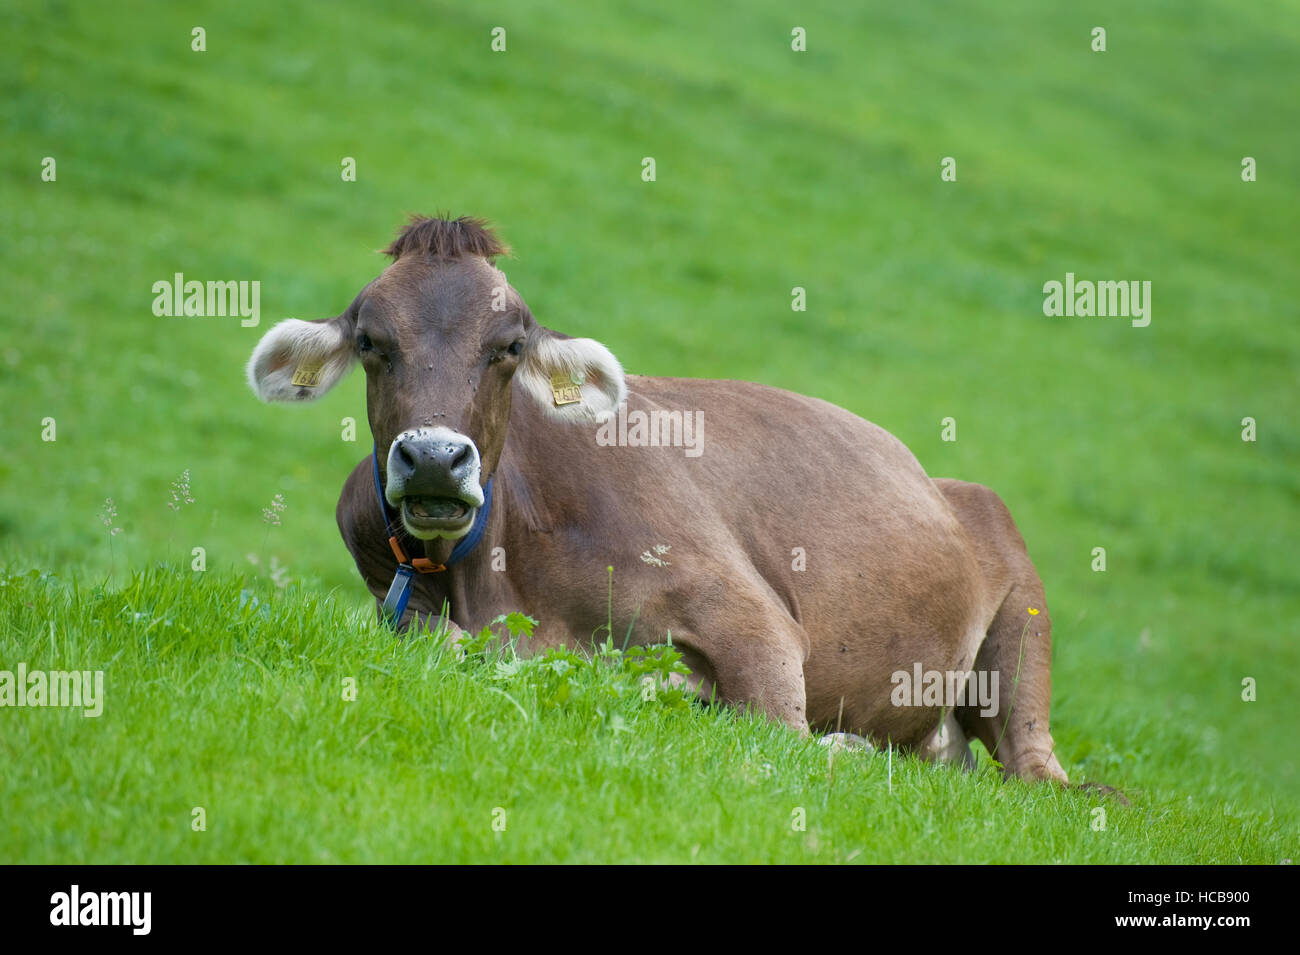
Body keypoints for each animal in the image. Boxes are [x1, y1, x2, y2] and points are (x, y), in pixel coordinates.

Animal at [246, 215, 1069, 784]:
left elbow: (780, 734)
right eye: (371, 342)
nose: (436, 460)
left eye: (508, 346)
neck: (504, 570)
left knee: (1032, 764)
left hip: (1015, 604)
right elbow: (454, 644)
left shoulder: (755, 621)